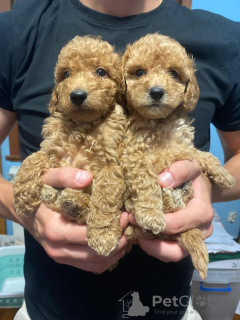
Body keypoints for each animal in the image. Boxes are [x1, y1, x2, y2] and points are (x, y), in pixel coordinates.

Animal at [13, 35, 126, 255]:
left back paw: (75, 203)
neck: (82, 125)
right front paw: (22, 195)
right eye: (66, 74)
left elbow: (105, 197)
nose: (77, 95)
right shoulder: (52, 150)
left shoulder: (111, 165)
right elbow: (34, 158)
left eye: (101, 72)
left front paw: (103, 234)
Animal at [121, 33, 235, 278]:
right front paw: (151, 213)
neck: (159, 122)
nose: (156, 92)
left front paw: (223, 175)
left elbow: (200, 155)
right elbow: (146, 181)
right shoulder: (134, 153)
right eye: (139, 72)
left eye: (173, 73)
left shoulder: (182, 147)